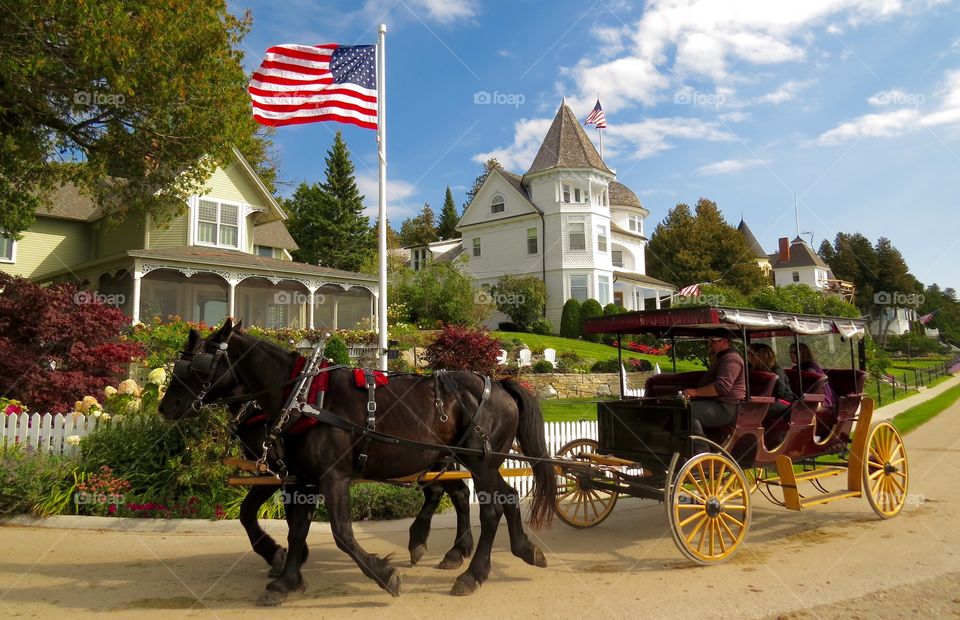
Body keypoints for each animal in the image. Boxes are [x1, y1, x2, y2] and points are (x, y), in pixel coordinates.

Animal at [162, 320, 556, 604]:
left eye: (197, 367)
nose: (166, 407)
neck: (301, 398)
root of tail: (500, 385)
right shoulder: (302, 478)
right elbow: (296, 527)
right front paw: (287, 576)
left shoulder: (328, 476)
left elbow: (341, 533)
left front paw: (384, 575)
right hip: (467, 460)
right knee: (493, 497)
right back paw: (516, 549)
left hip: (480, 461)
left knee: (489, 506)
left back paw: (471, 572)